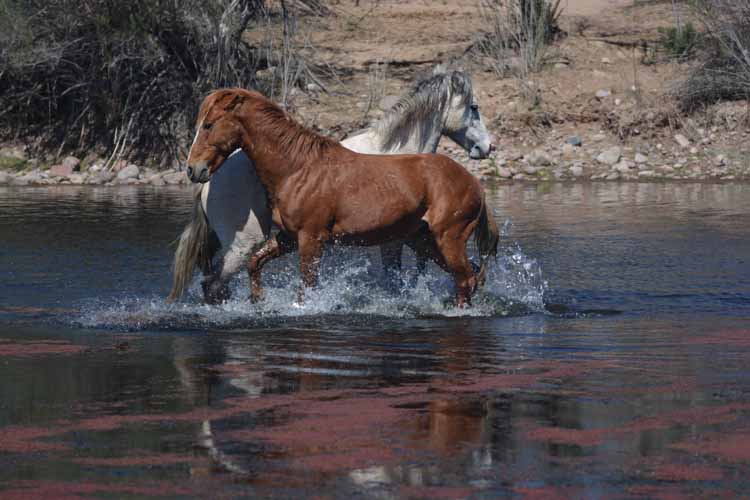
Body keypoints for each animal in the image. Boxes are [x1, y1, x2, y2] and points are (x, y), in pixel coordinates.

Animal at [185, 90, 496, 306]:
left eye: (209, 125)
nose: (193, 169)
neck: (296, 168)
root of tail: (473, 183)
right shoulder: (289, 237)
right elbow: (255, 263)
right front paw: (258, 299)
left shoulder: (311, 239)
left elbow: (306, 287)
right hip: (426, 241)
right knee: (470, 276)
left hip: (448, 238)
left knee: (465, 278)